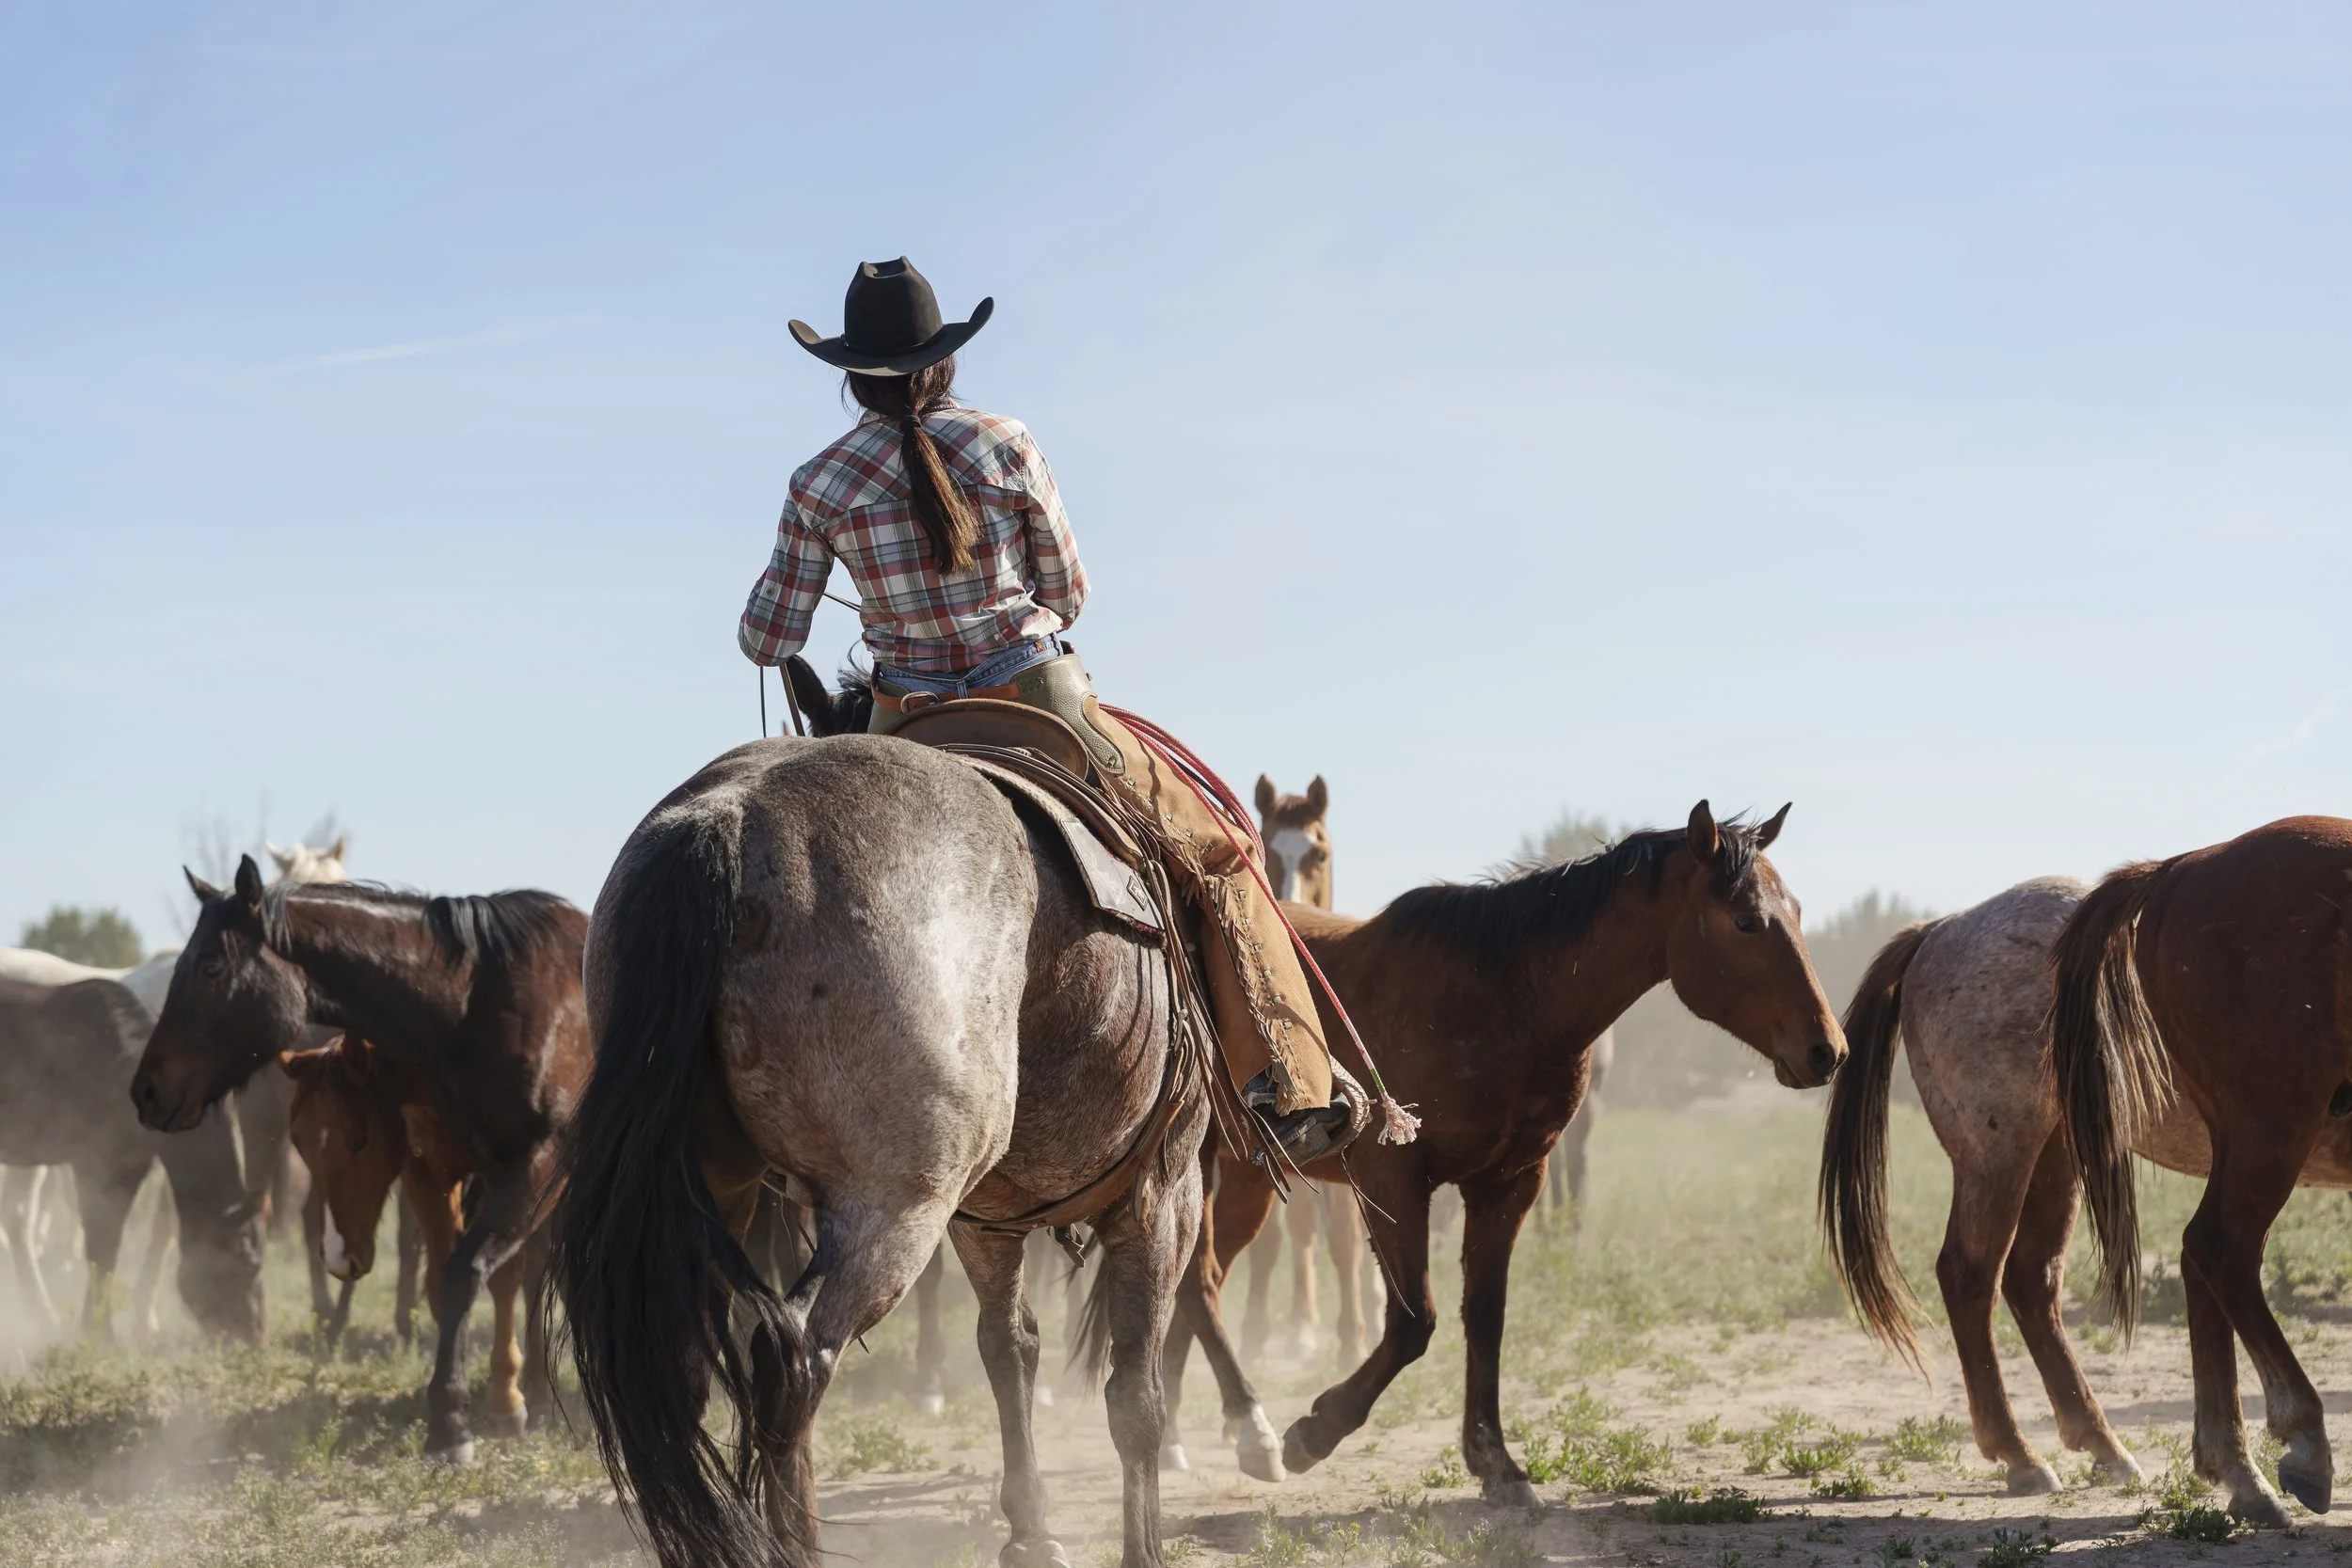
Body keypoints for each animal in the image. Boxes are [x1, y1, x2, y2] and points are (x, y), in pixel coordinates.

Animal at [0, 976, 264, 1339]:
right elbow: (101, 1248)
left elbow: (108, 1251)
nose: (258, 1340)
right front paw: (101, 1333)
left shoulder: (128, 1168)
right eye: (247, 1265)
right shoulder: (94, 1168)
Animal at [281, 1036, 546, 1418]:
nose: (337, 1259)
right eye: (298, 1143)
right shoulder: (426, 1174)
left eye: (360, 1140)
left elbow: (505, 1274)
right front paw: (452, 1394)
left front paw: (508, 1397)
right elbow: (442, 1283)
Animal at [545, 730, 1215, 1568]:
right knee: (795, 1357)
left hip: (717, 1193)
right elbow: (1134, 1396)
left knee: (687, 1361)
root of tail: (728, 818)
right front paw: (1139, 1546)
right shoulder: (1163, 1196)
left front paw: (1031, 1531)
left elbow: (1010, 1349)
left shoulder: (987, 1220)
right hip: (893, 1207)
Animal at [1162, 803, 1847, 1501]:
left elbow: (1485, 1317)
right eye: (1745, 920)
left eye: (1795, 910)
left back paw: (1175, 1435)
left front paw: (1495, 1460)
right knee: (1201, 1284)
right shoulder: (1392, 1180)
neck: (1501, 1000)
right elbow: (1413, 1321)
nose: (1828, 1049)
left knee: (1194, 1284)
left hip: (1241, 1180)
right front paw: (1318, 1429)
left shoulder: (1509, 1183)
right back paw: (1249, 1430)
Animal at [2053, 817, 2352, 1528]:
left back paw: (2239, 1470)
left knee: (2205, 1260)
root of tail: (2182, 866)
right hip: (2271, 1122)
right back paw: (2300, 1443)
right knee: (2220, 1249)